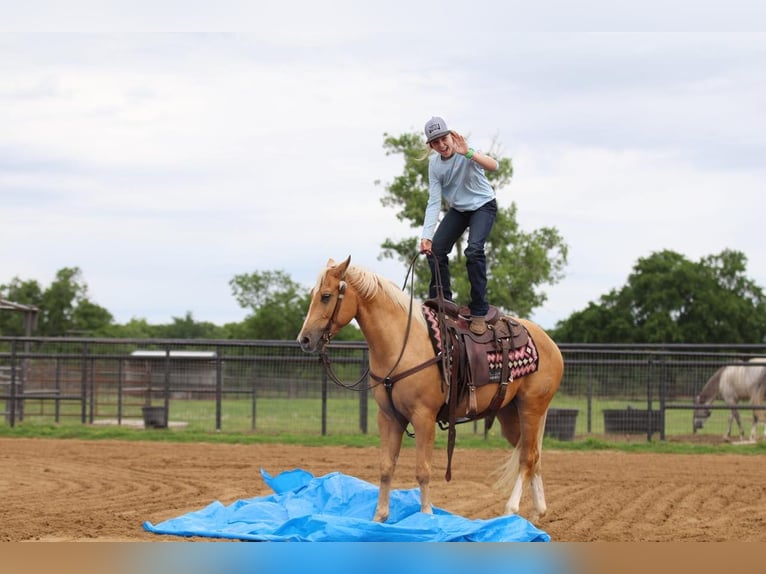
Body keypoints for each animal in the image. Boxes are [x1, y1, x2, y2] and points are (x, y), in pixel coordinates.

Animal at [298, 258, 564, 524]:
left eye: (326, 296)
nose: (304, 340)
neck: (402, 344)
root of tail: (549, 343)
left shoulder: (423, 417)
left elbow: (423, 470)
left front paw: (426, 517)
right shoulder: (388, 417)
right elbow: (386, 467)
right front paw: (379, 518)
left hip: (531, 407)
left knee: (527, 458)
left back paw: (511, 511)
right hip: (509, 413)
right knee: (533, 456)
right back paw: (537, 513)